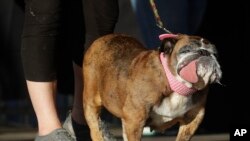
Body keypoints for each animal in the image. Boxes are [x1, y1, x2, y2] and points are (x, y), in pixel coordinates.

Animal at [83, 33, 222, 140]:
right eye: (186, 50)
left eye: (215, 54)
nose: (205, 52)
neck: (175, 84)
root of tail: (102, 39)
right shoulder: (134, 120)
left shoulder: (192, 120)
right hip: (91, 105)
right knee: (95, 127)